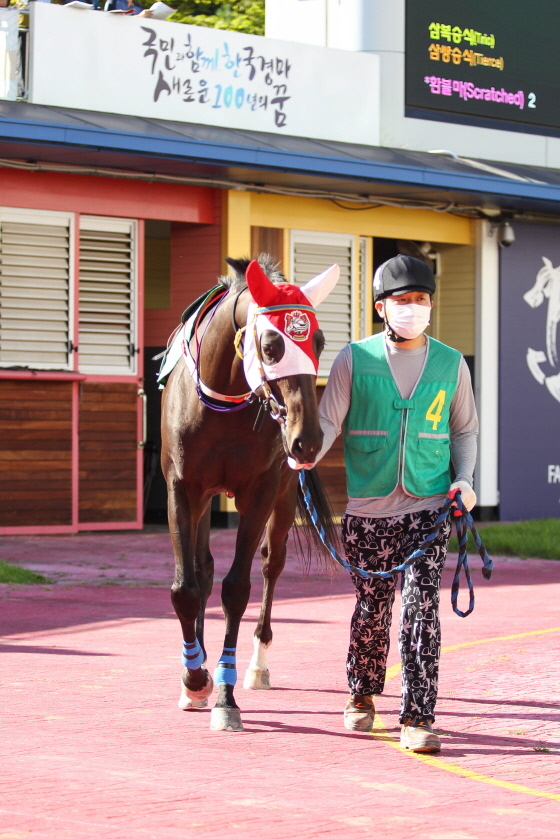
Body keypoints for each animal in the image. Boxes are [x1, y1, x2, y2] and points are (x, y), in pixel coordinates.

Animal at [159, 253, 342, 732]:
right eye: (273, 346)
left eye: (319, 341)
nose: (308, 440)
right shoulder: (182, 488)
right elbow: (186, 588)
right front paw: (194, 678)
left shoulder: (260, 491)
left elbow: (237, 589)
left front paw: (224, 694)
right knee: (202, 570)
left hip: (284, 492)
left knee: (271, 565)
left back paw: (257, 664)